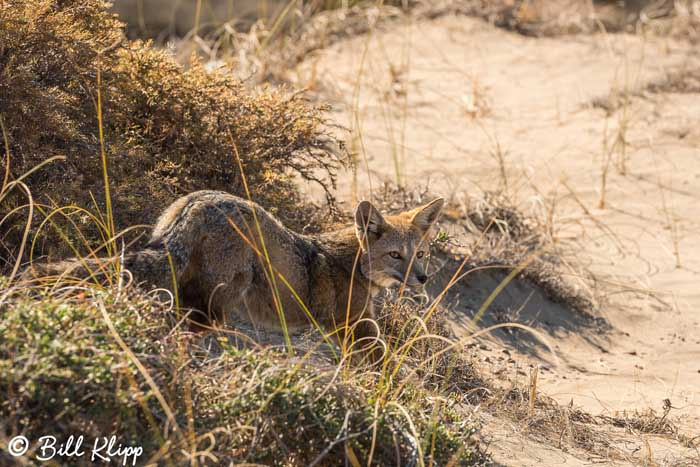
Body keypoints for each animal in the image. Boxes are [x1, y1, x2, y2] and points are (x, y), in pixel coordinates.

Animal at [27, 192, 446, 342]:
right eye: (396, 256)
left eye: (421, 254)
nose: (423, 278)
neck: (354, 264)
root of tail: (196, 202)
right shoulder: (354, 325)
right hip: (234, 286)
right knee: (194, 322)